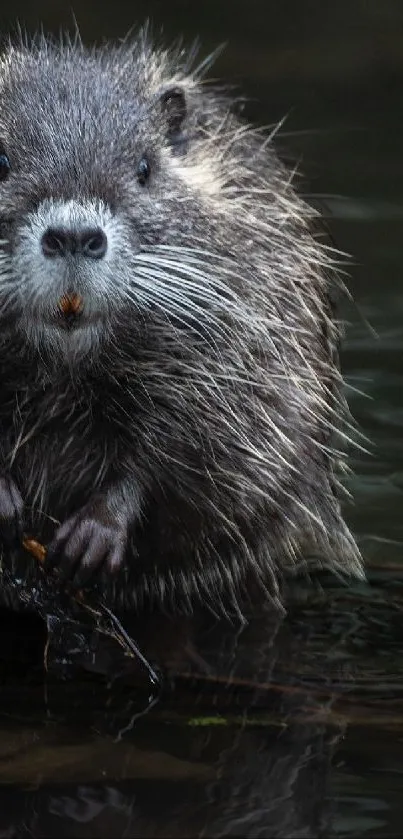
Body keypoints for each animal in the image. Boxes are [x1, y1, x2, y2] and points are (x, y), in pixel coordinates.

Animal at [0, 29, 362, 616]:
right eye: (2, 159)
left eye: (145, 169)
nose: (75, 237)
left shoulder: (245, 341)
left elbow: (196, 451)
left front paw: (91, 538)